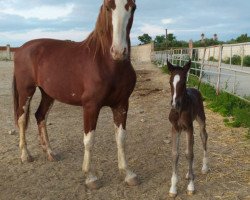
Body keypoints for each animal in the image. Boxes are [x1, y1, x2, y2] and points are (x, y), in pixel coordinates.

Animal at [12, 0, 138, 189]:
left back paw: (50, 153)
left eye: (133, 7)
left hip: (48, 94)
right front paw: (90, 177)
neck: (106, 63)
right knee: (21, 119)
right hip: (26, 90)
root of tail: (20, 49)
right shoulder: (91, 106)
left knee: (40, 116)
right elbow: (89, 140)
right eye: (108, 7)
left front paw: (128, 174)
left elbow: (121, 138)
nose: (118, 51)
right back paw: (25, 155)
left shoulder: (122, 104)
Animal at [167, 59, 208, 197]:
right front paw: (173, 188)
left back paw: (204, 168)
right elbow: (175, 154)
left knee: (203, 137)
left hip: (200, 120)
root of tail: (196, 89)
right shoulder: (175, 128)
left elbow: (189, 154)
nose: (175, 104)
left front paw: (191, 186)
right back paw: (188, 173)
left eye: (184, 81)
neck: (180, 110)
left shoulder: (189, 127)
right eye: (170, 81)